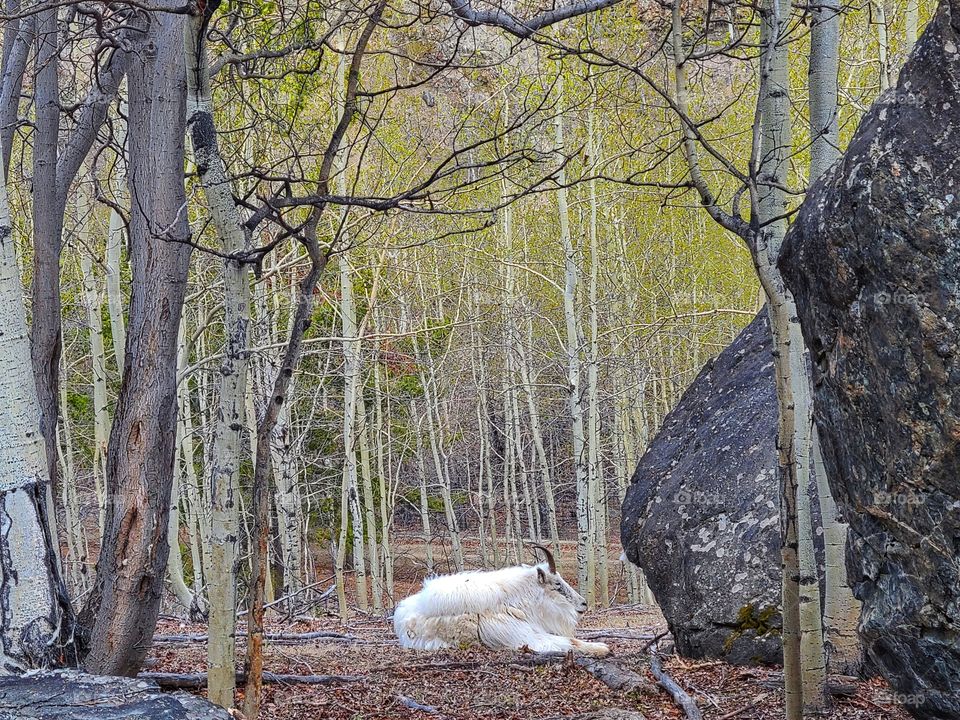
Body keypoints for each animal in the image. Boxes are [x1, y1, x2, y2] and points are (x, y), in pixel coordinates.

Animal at [393, 544, 609, 657]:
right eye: (557, 585)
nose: (583, 604)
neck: (517, 604)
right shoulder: (527, 637)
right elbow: (571, 641)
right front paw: (602, 648)